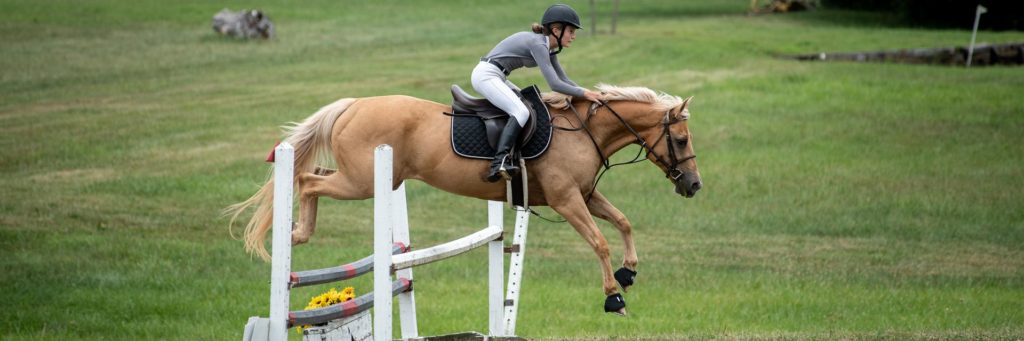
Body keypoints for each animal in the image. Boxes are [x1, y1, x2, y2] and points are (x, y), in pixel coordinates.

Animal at [227, 84, 700, 313]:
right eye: (679, 140)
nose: (694, 186)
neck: (582, 130)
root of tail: (354, 104)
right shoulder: (567, 201)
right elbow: (599, 241)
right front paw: (613, 297)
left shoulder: (585, 194)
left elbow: (622, 222)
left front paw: (628, 272)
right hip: (365, 181)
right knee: (308, 180)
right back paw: (298, 233)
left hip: (364, 178)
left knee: (316, 176)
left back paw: (298, 231)